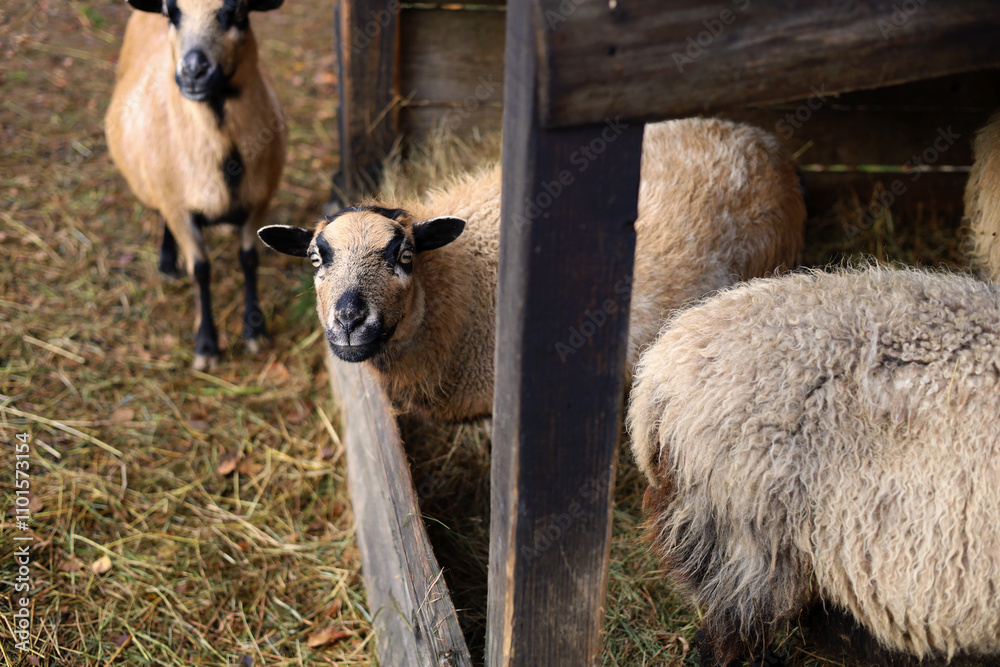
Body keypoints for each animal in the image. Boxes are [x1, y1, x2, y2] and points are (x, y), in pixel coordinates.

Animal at [105, 0, 287, 371]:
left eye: (238, 13)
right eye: (170, 13)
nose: (193, 71)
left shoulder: (259, 200)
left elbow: (249, 259)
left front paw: (254, 329)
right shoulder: (178, 206)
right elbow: (201, 270)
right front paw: (206, 346)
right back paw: (167, 261)